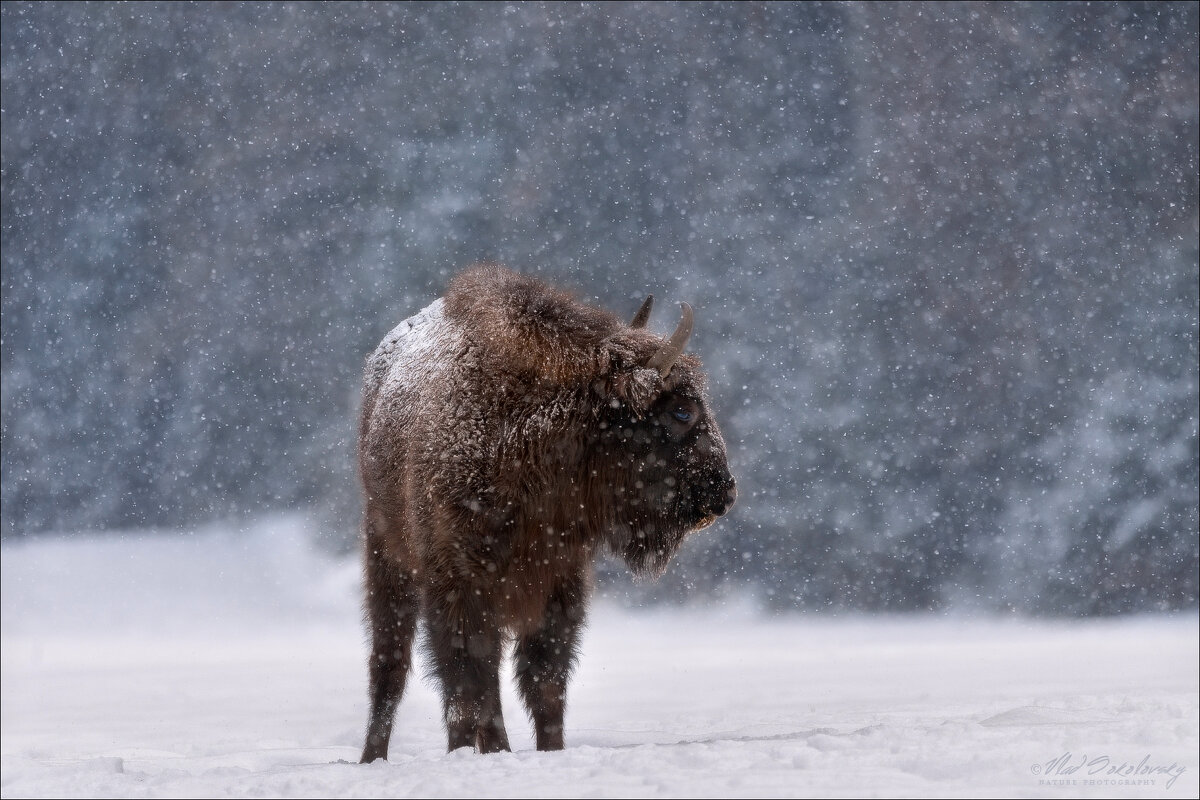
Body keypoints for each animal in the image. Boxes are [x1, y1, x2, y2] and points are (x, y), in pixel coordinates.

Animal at [355, 266, 734, 762]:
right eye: (682, 411)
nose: (724, 493)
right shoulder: (460, 582)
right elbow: (470, 676)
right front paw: (480, 751)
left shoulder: (559, 583)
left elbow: (544, 680)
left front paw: (548, 752)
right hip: (387, 557)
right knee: (391, 664)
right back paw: (374, 757)